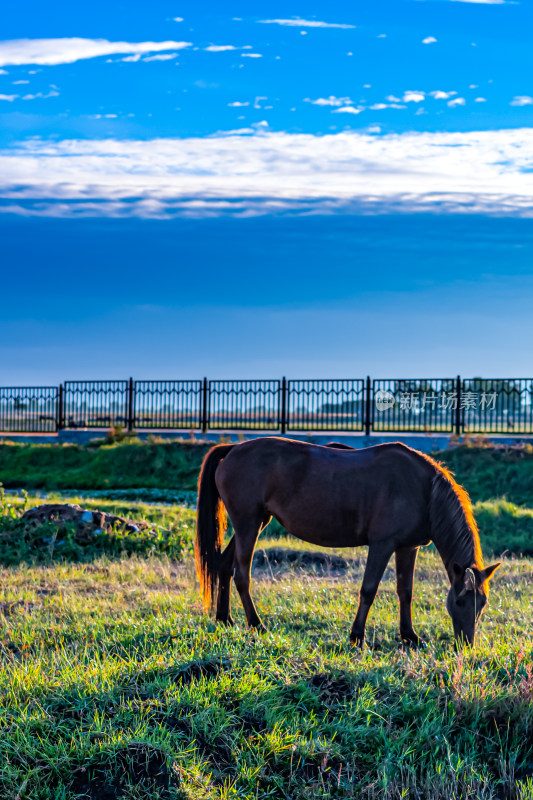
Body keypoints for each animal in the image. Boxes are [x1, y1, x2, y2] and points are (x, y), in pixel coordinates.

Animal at [194, 438, 498, 648]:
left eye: (482, 603)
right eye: (459, 601)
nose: (466, 645)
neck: (425, 491)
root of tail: (233, 449)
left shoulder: (407, 547)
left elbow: (405, 591)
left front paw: (410, 636)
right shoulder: (382, 545)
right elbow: (369, 590)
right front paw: (357, 637)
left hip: (256, 522)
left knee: (224, 566)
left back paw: (224, 619)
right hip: (248, 523)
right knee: (241, 574)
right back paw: (257, 625)